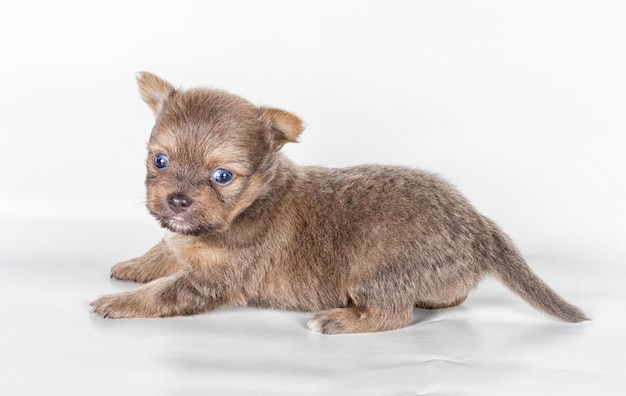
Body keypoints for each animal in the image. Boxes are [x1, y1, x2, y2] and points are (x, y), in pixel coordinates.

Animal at [89, 72, 584, 334]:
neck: (251, 202)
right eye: (160, 160)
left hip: (376, 271)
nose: (176, 200)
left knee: (392, 313)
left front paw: (120, 302)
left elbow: (165, 291)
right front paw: (135, 265)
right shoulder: (180, 242)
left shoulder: (211, 280)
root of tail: (477, 224)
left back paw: (339, 321)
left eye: (222, 176)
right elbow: (163, 249)